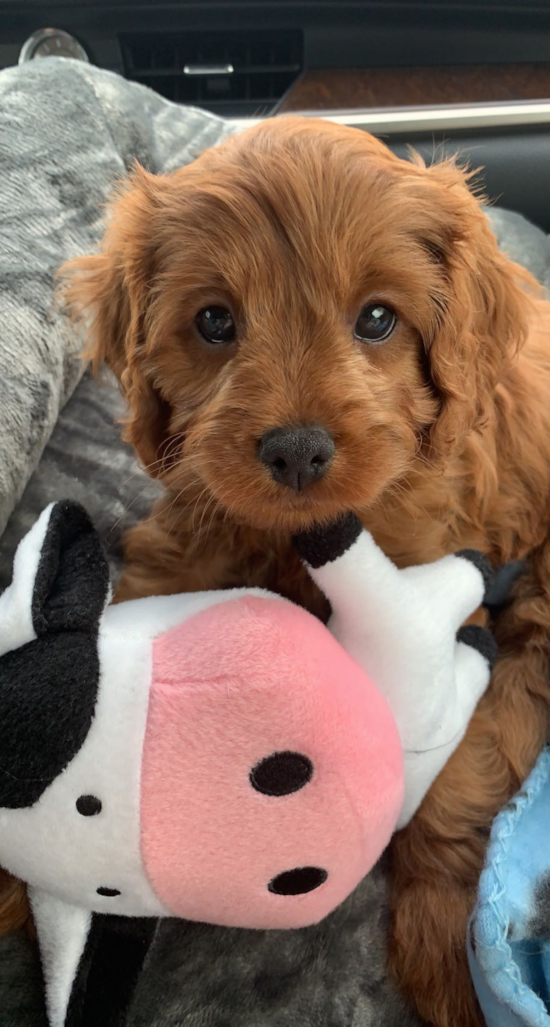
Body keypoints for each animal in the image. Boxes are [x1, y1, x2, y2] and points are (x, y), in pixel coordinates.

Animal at [20, 116, 550, 1022]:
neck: (297, 537)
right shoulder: (187, 533)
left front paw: (451, 953)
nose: (297, 451)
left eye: (378, 318)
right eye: (214, 320)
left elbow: (456, 772)